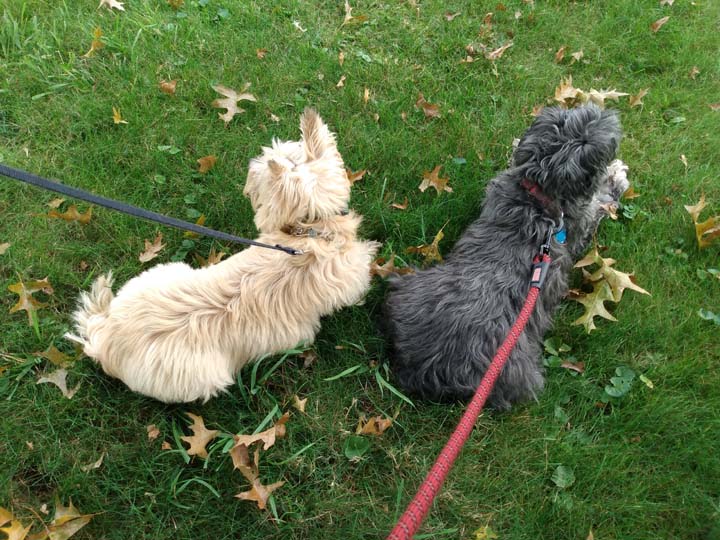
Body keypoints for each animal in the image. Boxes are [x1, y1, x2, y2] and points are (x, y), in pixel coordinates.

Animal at [384, 104, 628, 410]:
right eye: (586, 139)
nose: (601, 112)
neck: (538, 197)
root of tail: (435, 370)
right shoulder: (582, 223)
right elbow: (603, 202)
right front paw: (617, 175)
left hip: (409, 284)